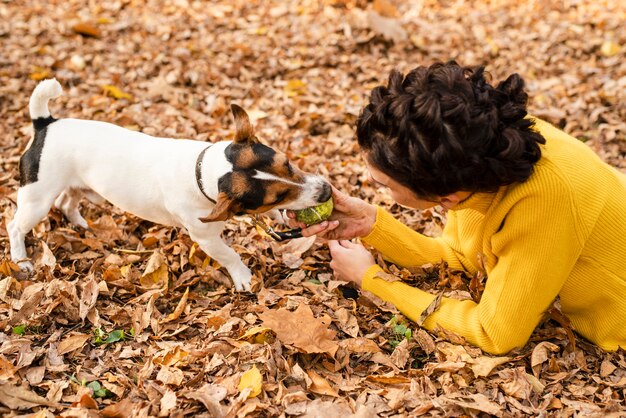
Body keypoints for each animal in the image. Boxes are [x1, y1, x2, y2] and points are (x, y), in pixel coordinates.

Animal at [8, 80, 332, 292]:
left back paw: (82, 225)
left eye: (288, 163)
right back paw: (21, 260)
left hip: (76, 186)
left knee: (67, 203)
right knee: (15, 226)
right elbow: (230, 255)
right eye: (277, 196)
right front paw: (242, 276)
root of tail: (45, 124)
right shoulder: (206, 238)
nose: (327, 191)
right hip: (37, 200)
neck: (202, 171)